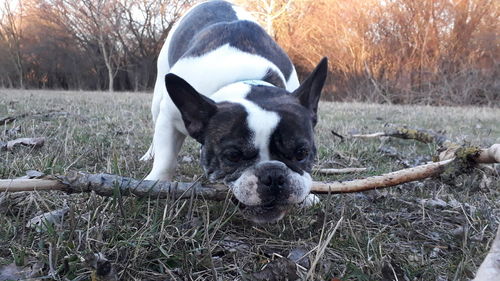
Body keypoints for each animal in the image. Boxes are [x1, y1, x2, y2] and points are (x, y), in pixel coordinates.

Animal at [142, 0, 328, 223]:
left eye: (302, 153)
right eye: (233, 156)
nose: (273, 175)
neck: (245, 81)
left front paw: (307, 197)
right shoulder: (169, 118)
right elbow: (166, 158)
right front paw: (156, 183)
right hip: (158, 95)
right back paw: (149, 155)